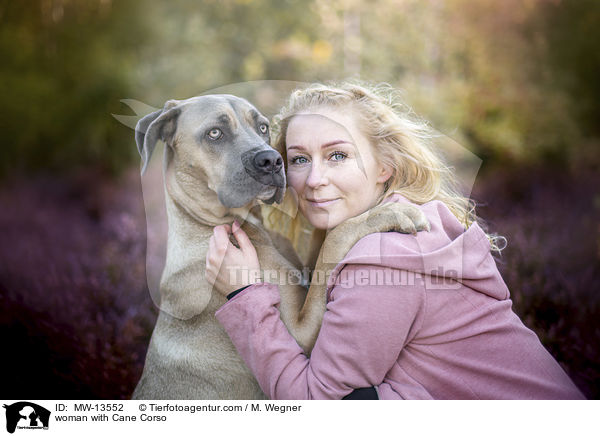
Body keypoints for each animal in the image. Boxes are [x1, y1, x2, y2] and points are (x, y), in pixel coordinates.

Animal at [133, 94, 428, 398]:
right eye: (214, 133)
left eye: (263, 127)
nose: (271, 160)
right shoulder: (300, 335)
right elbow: (334, 240)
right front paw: (390, 212)